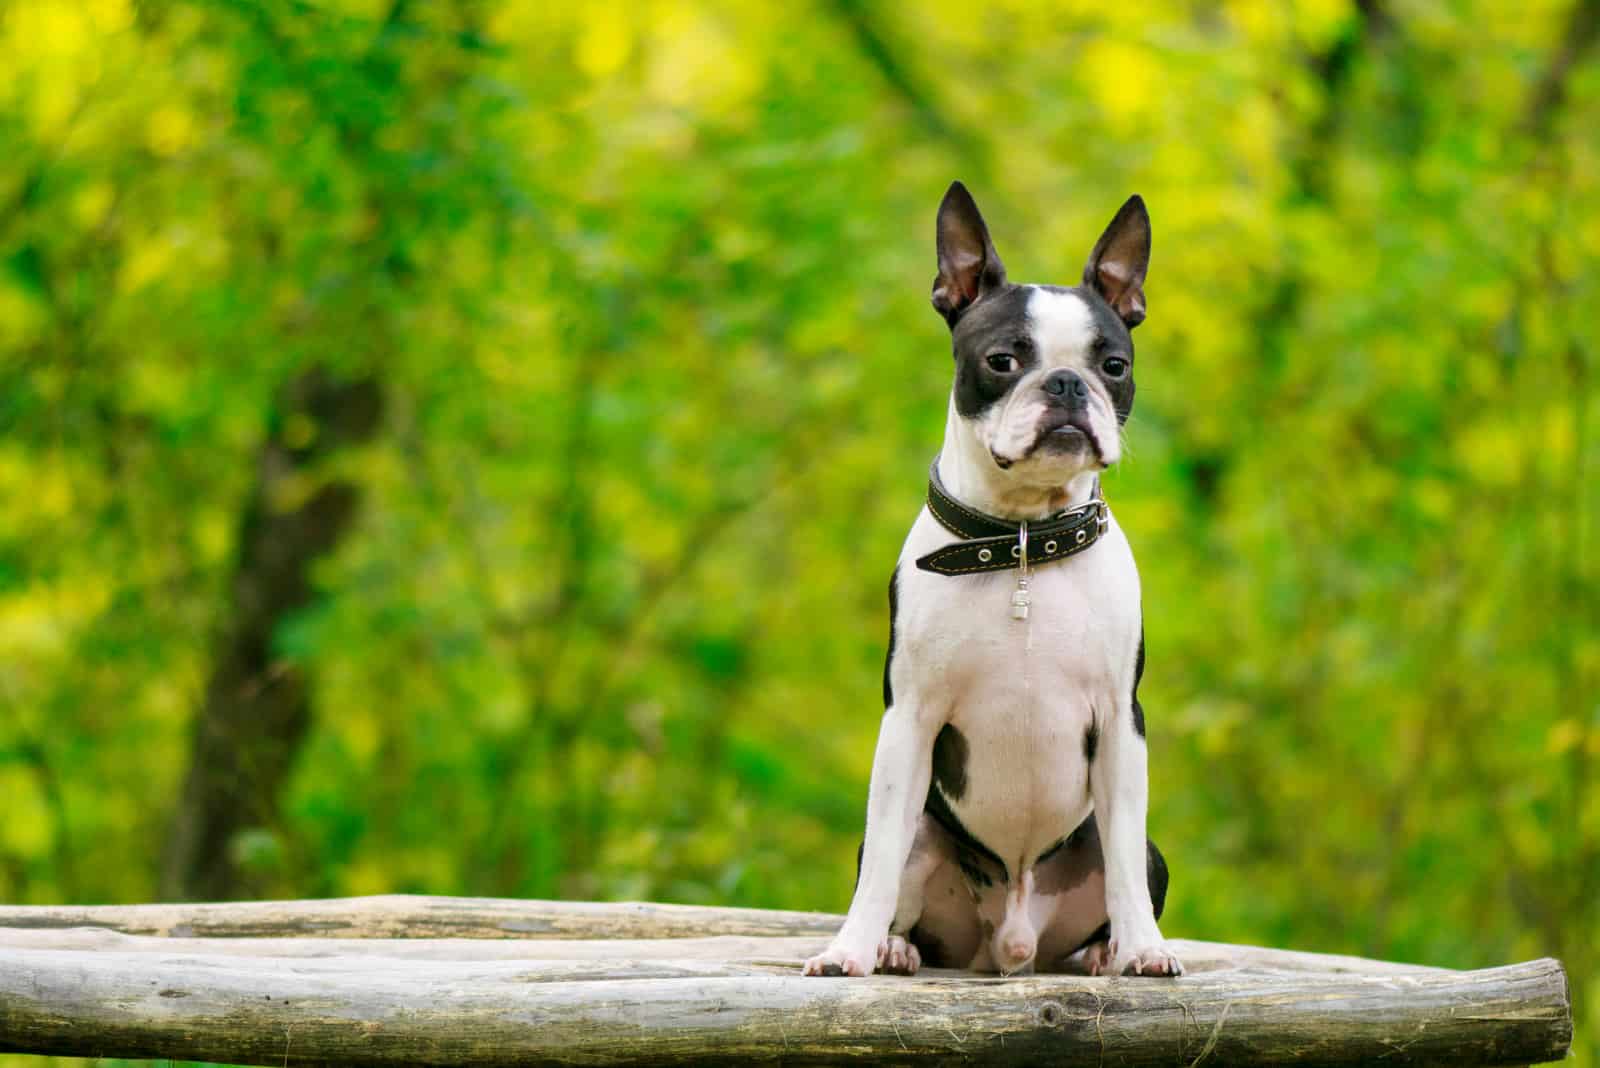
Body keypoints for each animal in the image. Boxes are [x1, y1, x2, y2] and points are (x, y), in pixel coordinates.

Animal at [806, 181, 1184, 978]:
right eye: (1004, 360)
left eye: (1114, 366)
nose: (1067, 384)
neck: (1020, 546)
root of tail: (1012, 943)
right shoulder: (908, 721)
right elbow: (880, 858)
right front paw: (849, 950)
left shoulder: (1120, 721)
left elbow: (1125, 866)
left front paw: (1144, 949)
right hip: (931, 839)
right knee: (900, 869)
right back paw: (891, 947)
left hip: (1135, 849)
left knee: (1127, 862)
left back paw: (1102, 953)